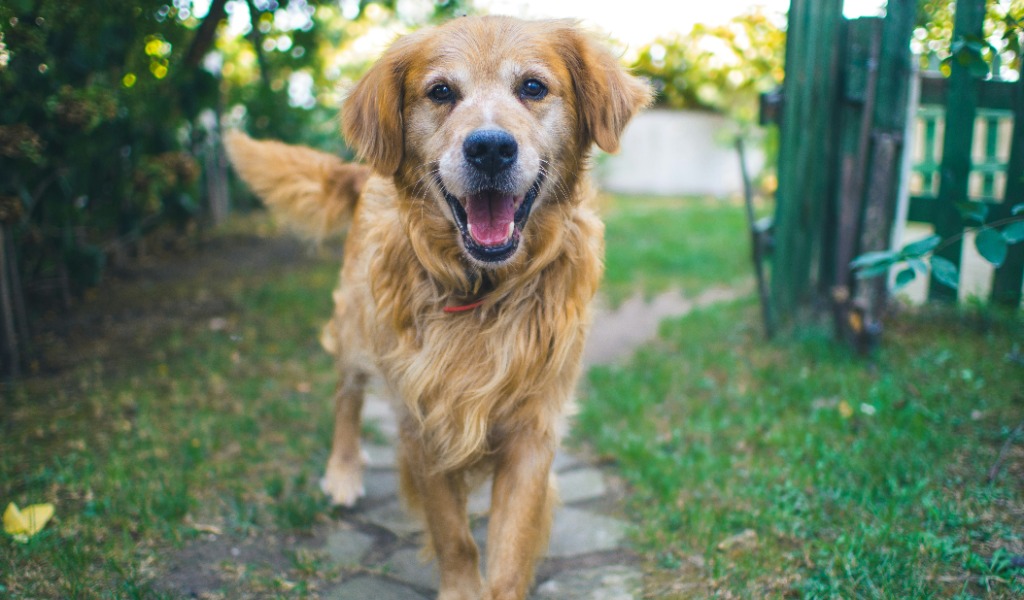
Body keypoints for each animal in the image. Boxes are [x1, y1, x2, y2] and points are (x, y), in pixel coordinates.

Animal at [228, 15, 651, 597]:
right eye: (442, 92)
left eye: (533, 87)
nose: (490, 148)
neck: (482, 290)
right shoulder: (421, 419)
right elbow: (454, 535)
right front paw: (461, 586)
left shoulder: (533, 428)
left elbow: (510, 546)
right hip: (357, 328)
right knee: (346, 396)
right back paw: (343, 471)